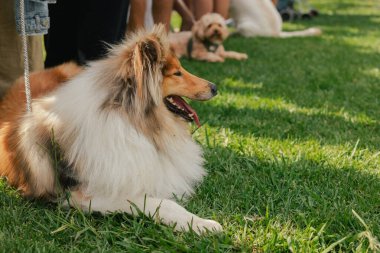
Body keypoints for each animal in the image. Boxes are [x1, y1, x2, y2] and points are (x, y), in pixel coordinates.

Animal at [0, 25, 223, 233]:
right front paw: (203, 224)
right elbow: (162, 203)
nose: (215, 87)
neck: (133, 120)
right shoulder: (84, 195)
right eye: (177, 73)